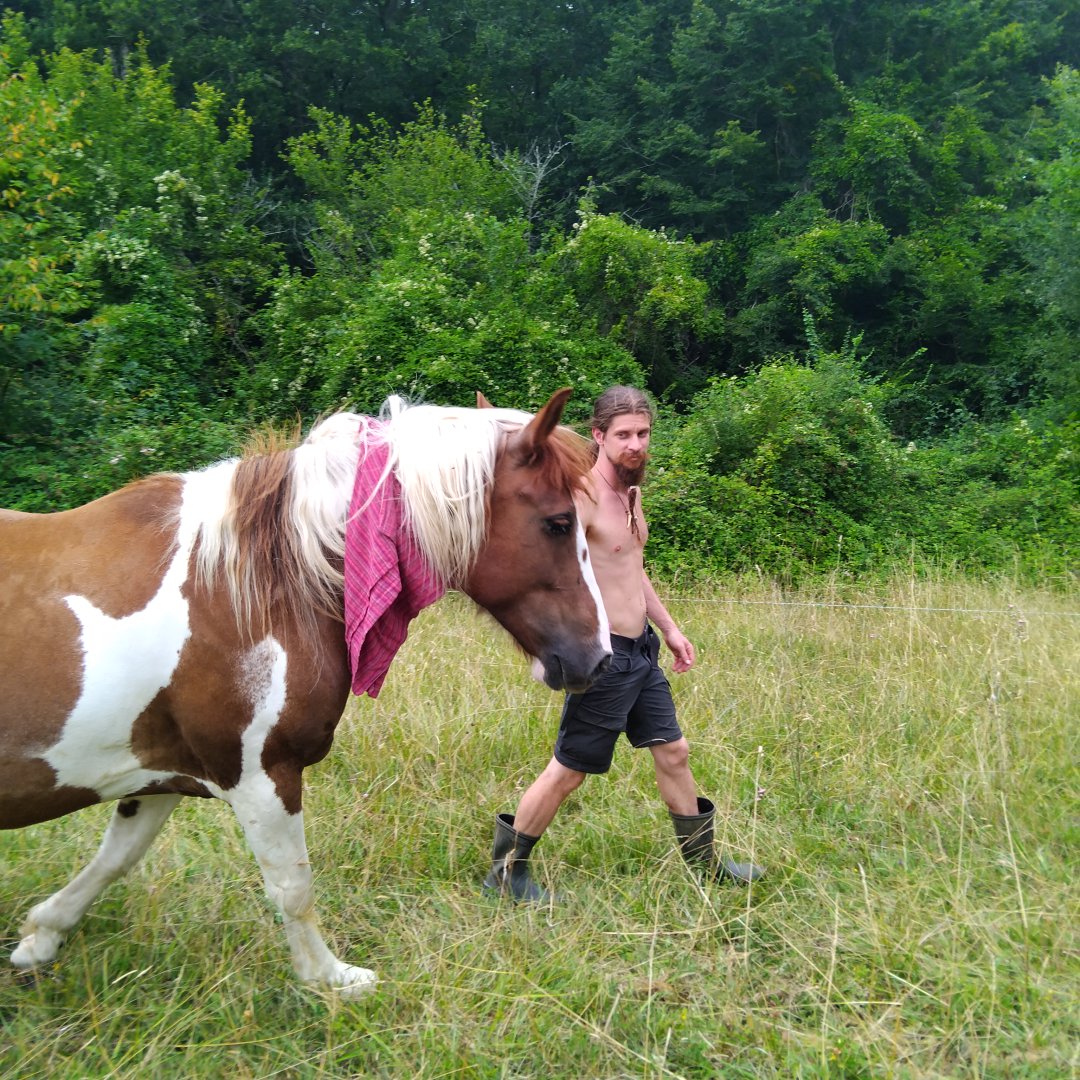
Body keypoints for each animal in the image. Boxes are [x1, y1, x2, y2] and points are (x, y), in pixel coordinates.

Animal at [0, 388, 611, 996]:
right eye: (559, 523)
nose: (601, 657)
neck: (249, 585)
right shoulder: (261, 776)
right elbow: (294, 889)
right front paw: (331, 979)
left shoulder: (160, 773)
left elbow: (114, 860)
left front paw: (41, 937)